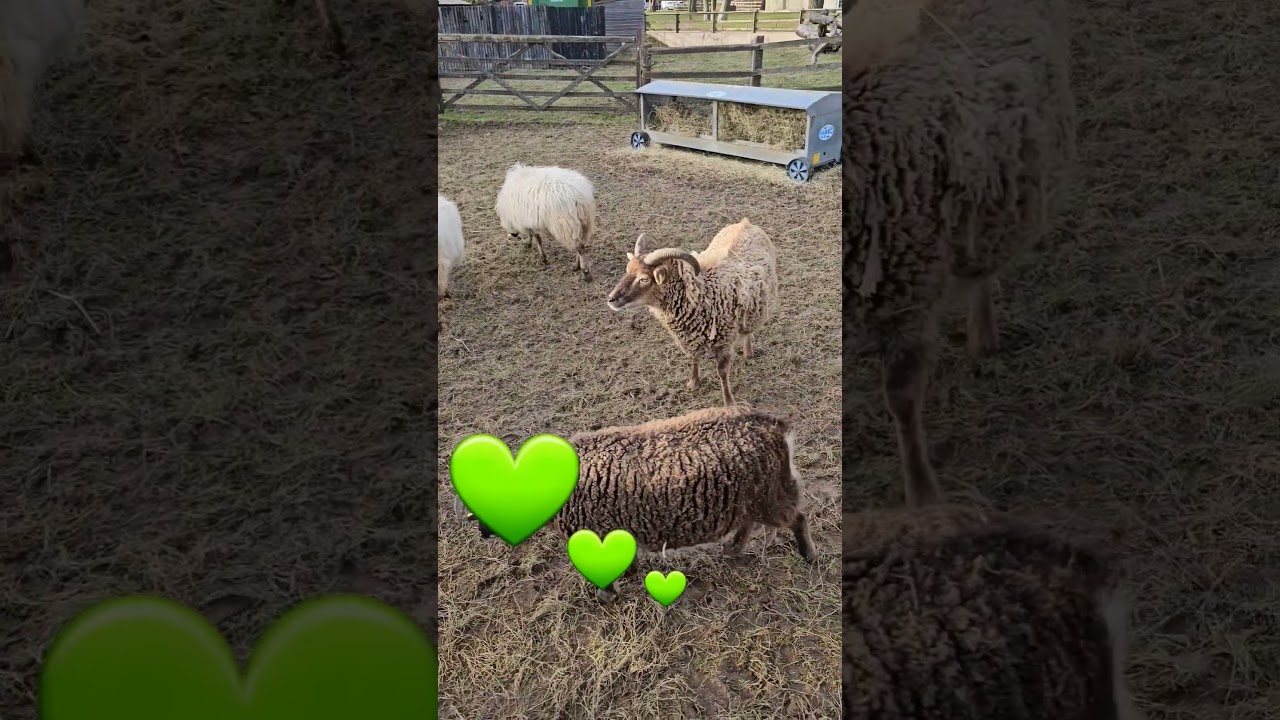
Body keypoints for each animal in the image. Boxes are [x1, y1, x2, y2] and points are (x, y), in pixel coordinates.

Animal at [465, 405, 817, 602]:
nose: (481, 532)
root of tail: (774, 426)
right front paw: (630, 574)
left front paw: (606, 597)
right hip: (752, 497)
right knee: (749, 522)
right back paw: (732, 549)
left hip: (772, 494)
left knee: (797, 518)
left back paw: (809, 556)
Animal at [606, 218, 779, 406]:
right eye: (627, 270)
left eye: (644, 279)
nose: (611, 299)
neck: (701, 292)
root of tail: (745, 223)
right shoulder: (691, 337)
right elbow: (694, 359)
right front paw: (693, 383)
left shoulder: (724, 342)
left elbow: (722, 372)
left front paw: (729, 402)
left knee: (748, 330)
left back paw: (748, 352)